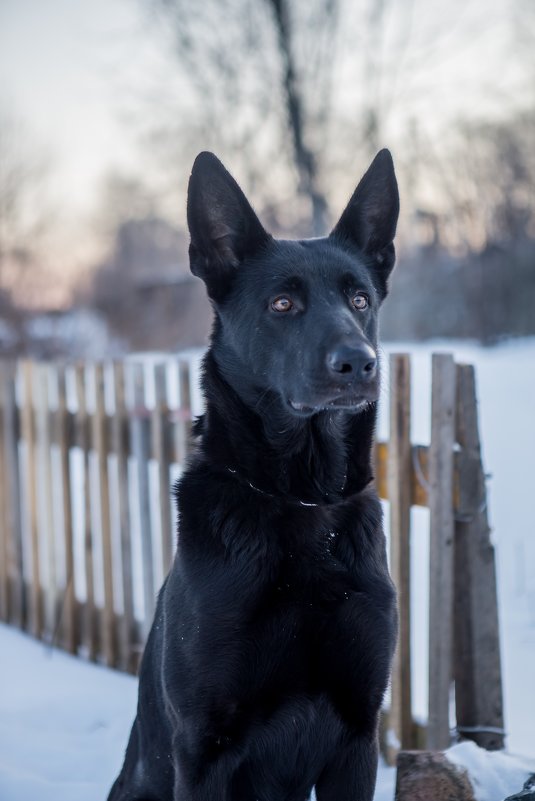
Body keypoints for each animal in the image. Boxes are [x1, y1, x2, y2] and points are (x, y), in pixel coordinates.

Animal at [109, 150, 400, 800]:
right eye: (282, 305)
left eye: (360, 300)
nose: (359, 364)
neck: (303, 502)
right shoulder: (204, 749)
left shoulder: (358, 734)